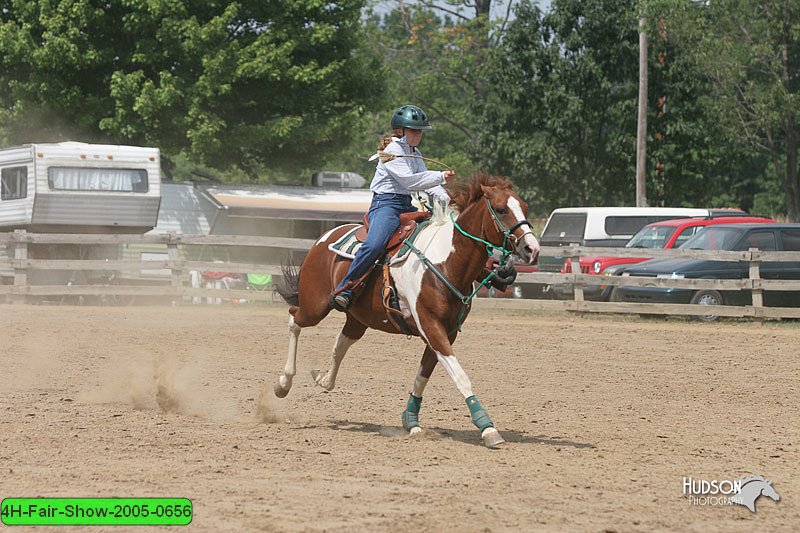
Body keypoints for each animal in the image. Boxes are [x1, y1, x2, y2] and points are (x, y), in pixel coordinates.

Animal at [272, 176, 540, 448]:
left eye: (525, 208)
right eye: (501, 209)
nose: (532, 248)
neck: (445, 262)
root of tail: (324, 238)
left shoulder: (446, 332)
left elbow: (422, 376)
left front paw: (411, 420)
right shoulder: (431, 327)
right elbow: (460, 376)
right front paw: (487, 428)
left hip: (358, 319)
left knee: (340, 344)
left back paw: (323, 379)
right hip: (316, 306)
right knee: (294, 319)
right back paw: (283, 383)